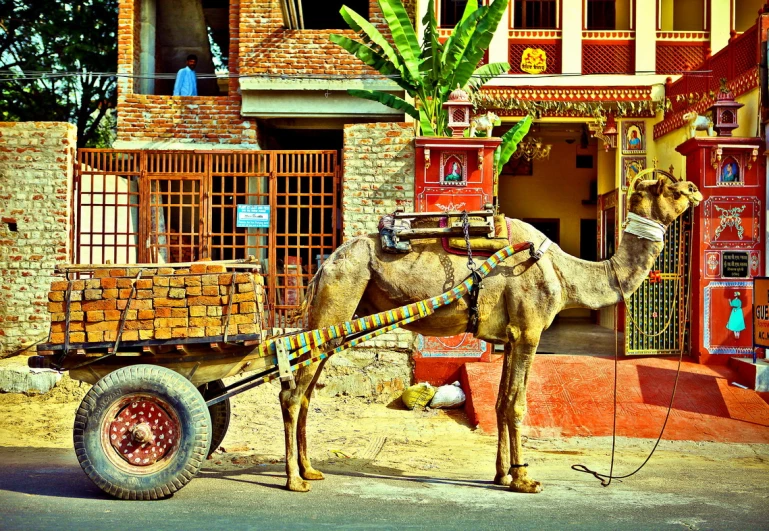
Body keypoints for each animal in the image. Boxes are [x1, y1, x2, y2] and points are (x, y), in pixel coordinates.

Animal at [282, 178, 704, 494]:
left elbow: (501, 402)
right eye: (670, 188)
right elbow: (517, 404)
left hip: (336, 319)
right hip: (338, 298)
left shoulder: (510, 336)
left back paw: (310, 470)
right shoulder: (529, 331)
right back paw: (294, 480)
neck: (564, 274)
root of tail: (326, 263)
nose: (696, 190)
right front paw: (525, 478)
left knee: (306, 390)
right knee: (293, 392)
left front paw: (502, 474)